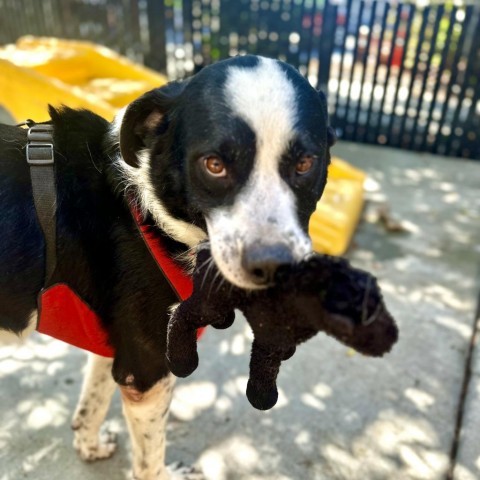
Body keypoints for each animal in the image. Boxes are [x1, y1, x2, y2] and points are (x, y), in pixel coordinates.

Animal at [0, 54, 336, 478]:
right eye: (214, 165)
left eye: (306, 163)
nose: (274, 270)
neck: (149, 212)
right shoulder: (147, 375)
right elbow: (150, 460)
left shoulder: (114, 348)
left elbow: (92, 403)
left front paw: (88, 446)